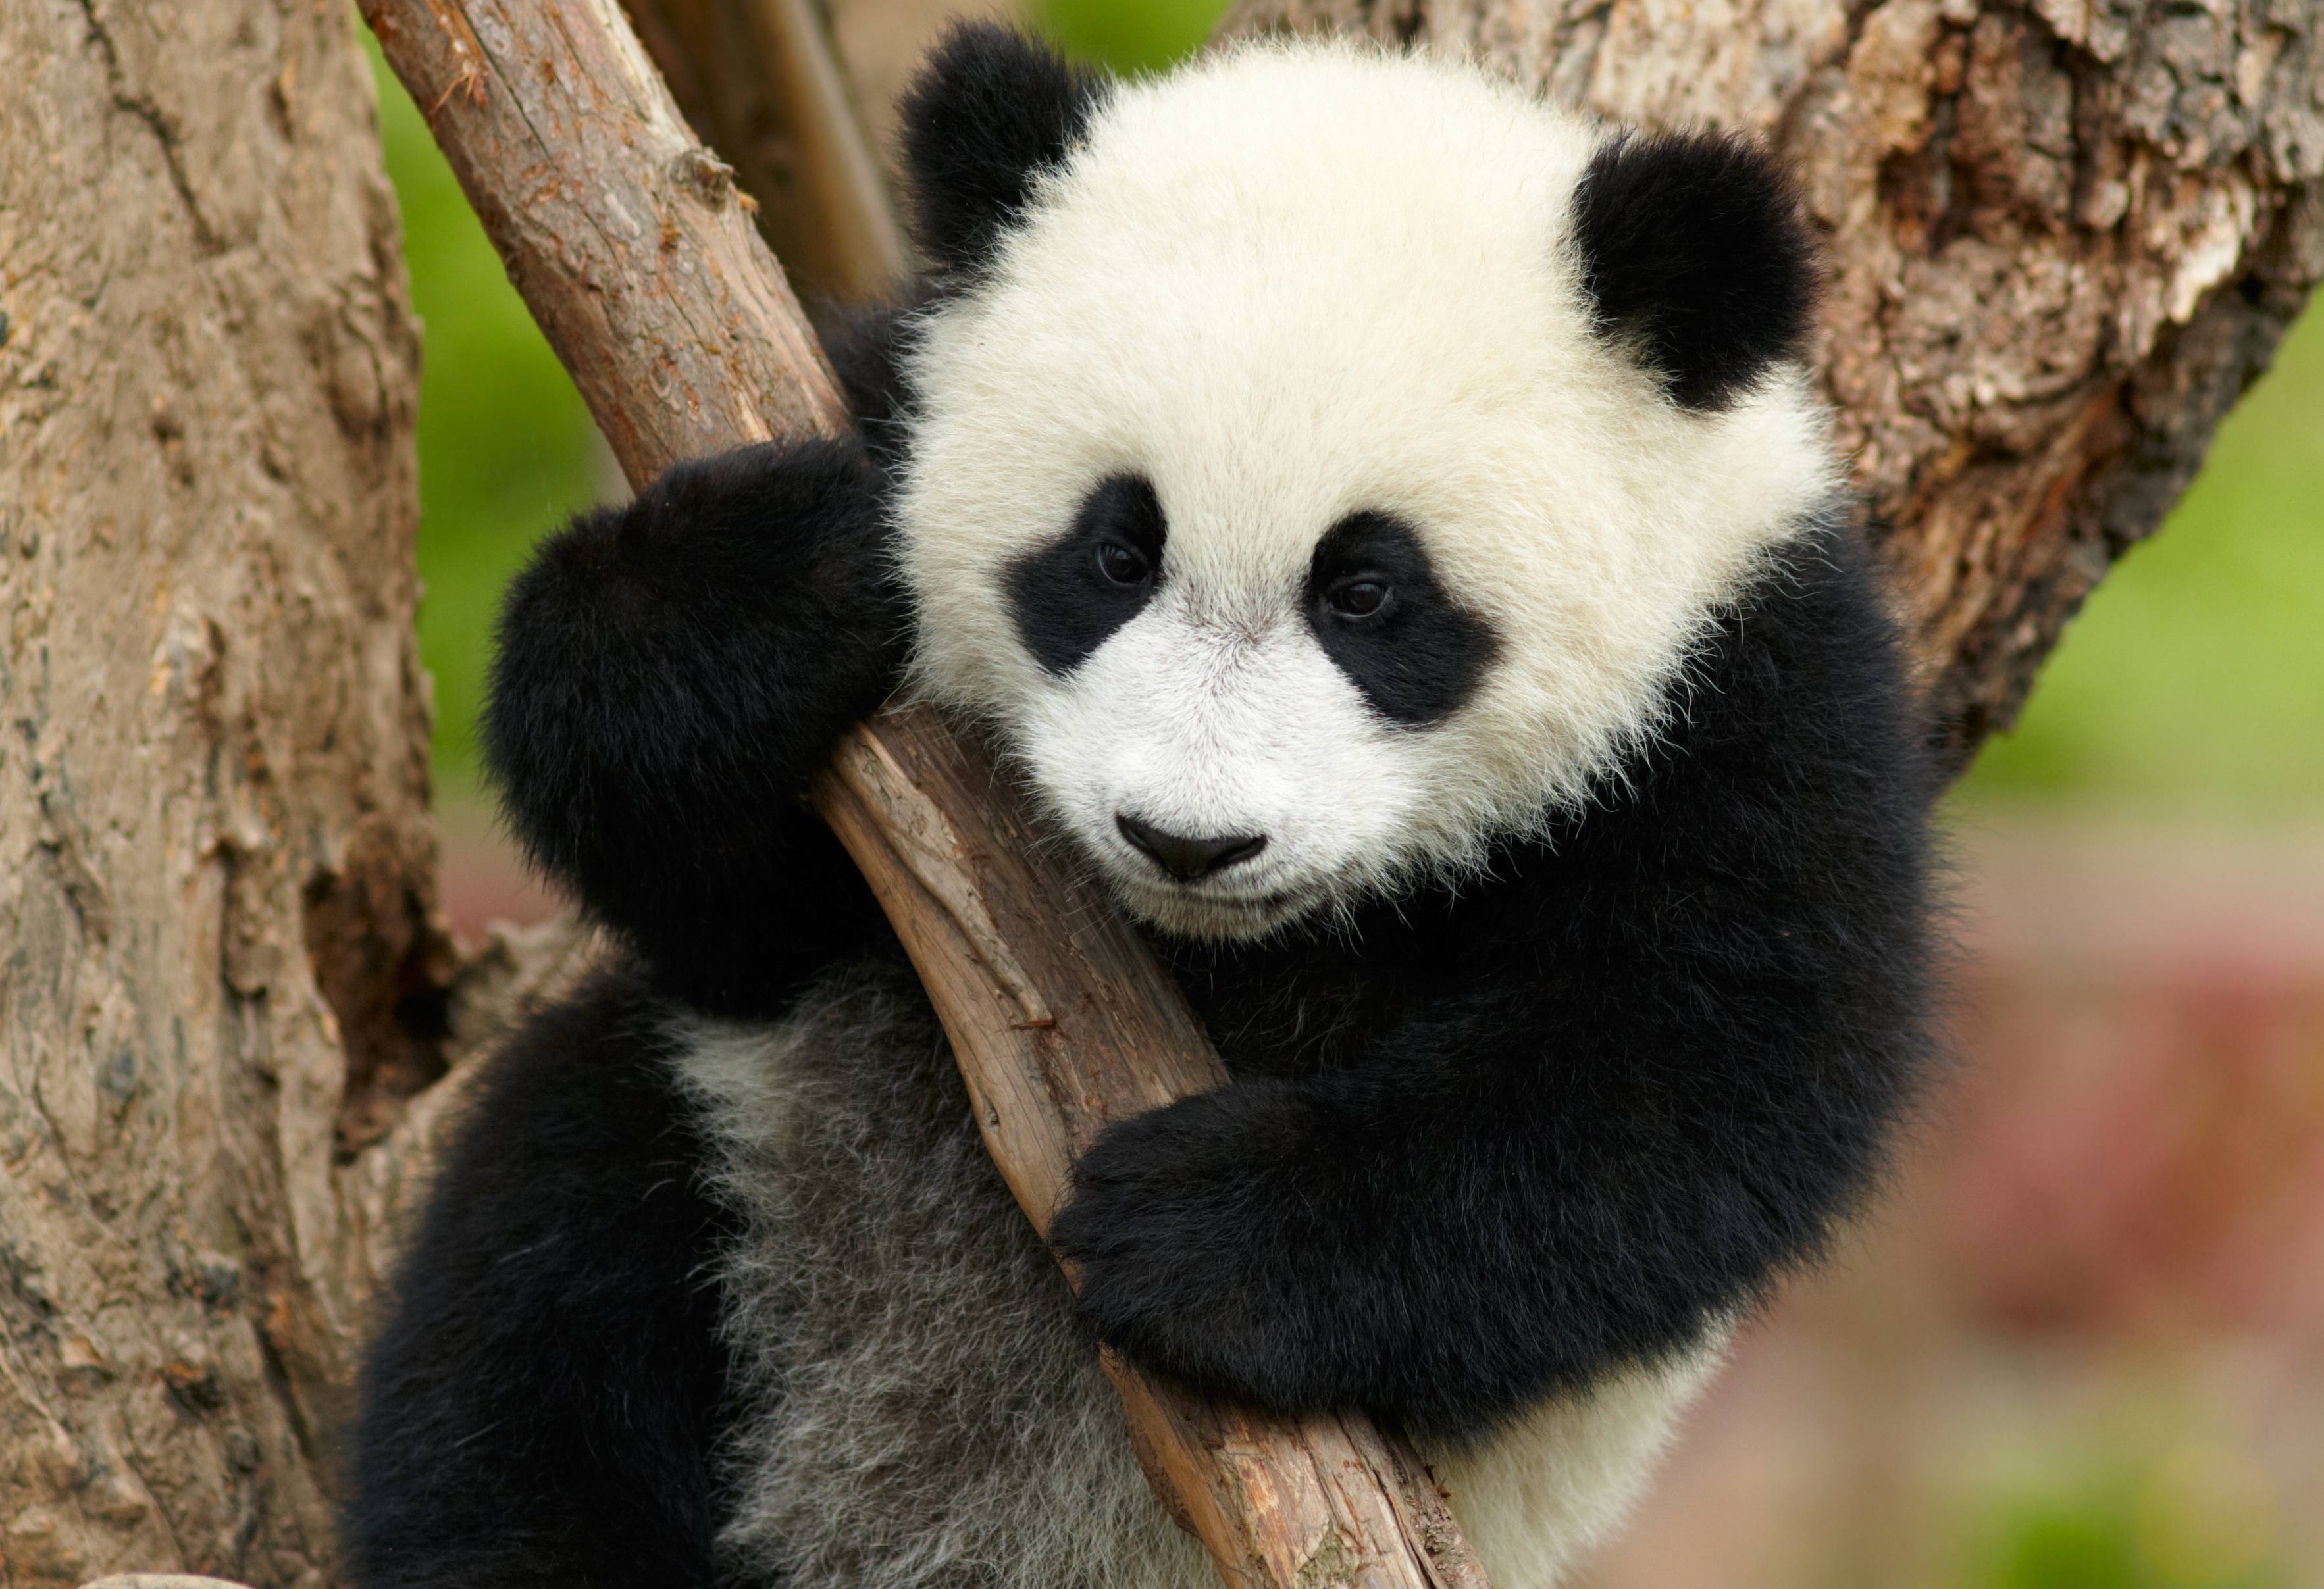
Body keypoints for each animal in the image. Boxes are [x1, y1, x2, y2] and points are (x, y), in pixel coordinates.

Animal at [347, 23, 1937, 1589]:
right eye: (1116, 553)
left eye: (1369, 593)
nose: (1190, 840)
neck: (1241, 949)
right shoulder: (878, 417)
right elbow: (720, 904)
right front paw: (741, 590)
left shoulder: (1752, 691)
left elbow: (1706, 1071)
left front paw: (1204, 1230)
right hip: (736, 1160)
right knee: (533, 1332)